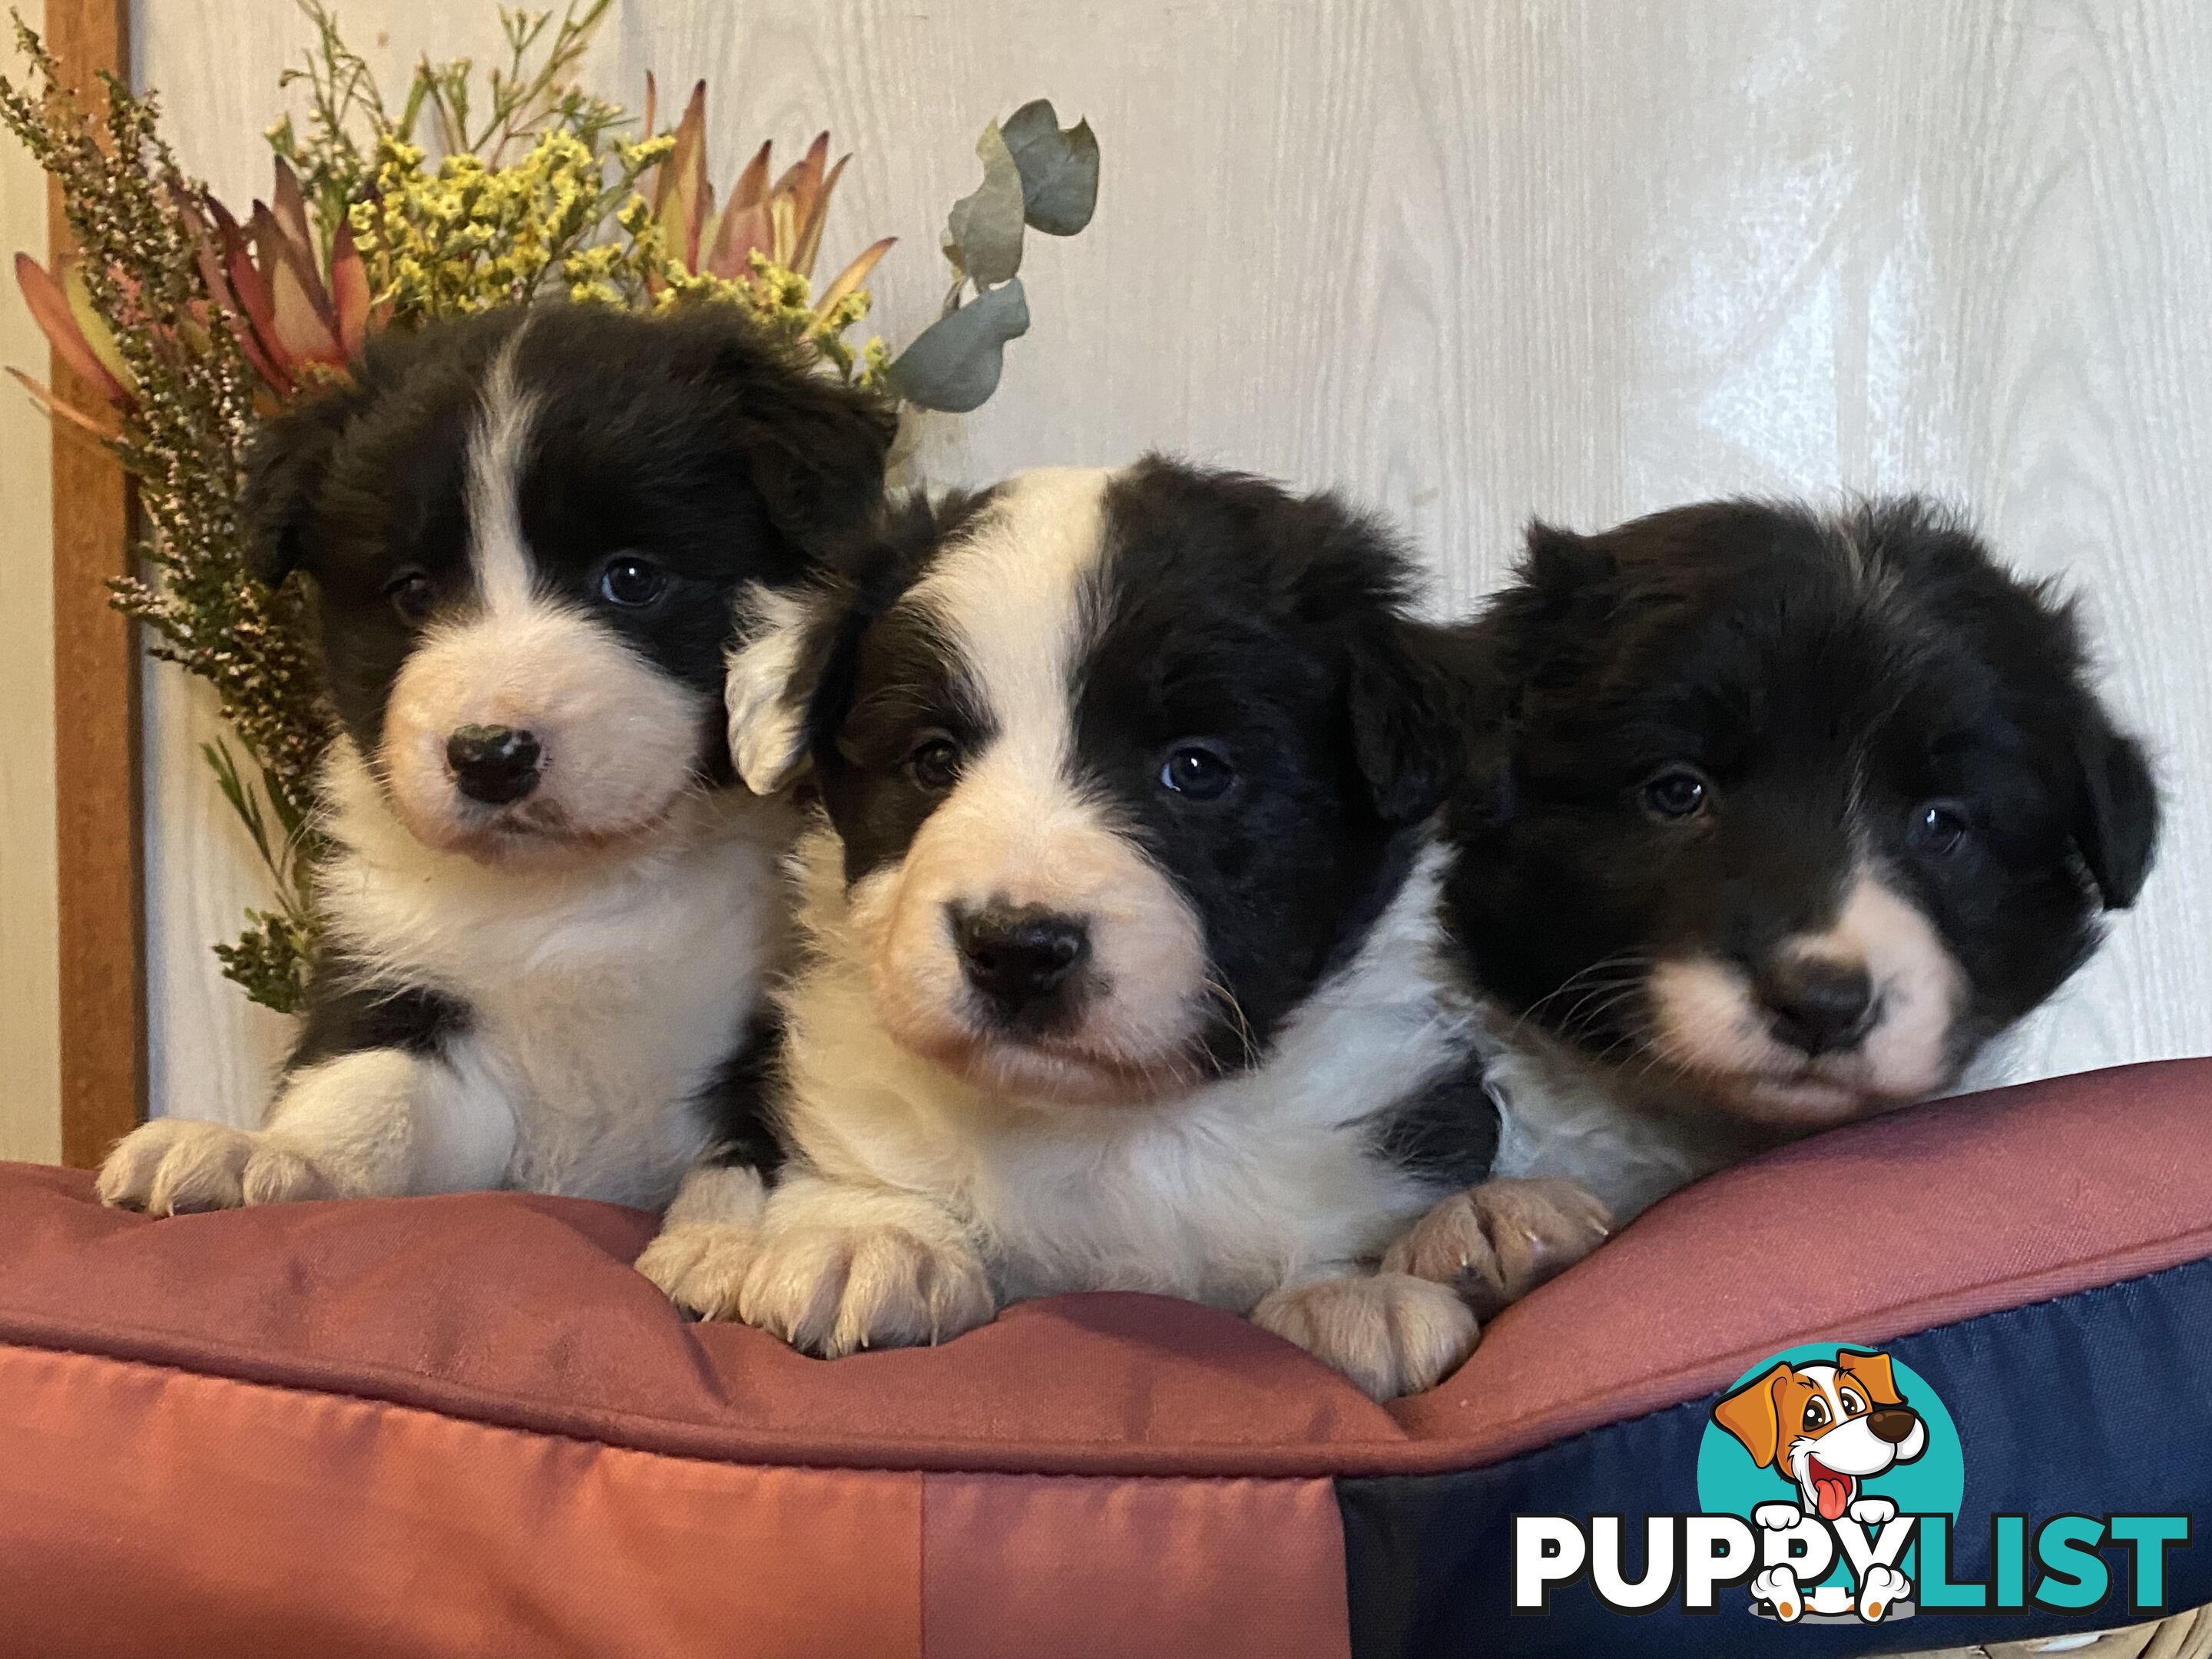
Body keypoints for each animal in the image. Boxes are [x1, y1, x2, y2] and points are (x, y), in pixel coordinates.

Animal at [641, 458, 1610, 1406]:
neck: (1112, 1130)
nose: (1017, 949)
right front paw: (875, 1235)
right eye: (933, 760)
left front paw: (1354, 1291)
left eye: (1196, 769)